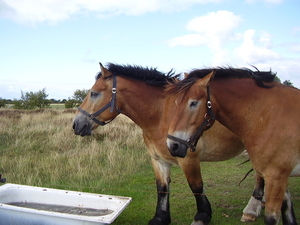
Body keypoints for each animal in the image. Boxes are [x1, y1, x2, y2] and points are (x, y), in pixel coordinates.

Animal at [72, 63, 262, 225]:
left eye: (94, 93)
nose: (76, 124)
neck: (162, 115)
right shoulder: (158, 160)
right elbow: (162, 188)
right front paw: (160, 218)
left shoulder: (189, 160)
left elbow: (196, 187)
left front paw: (202, 216)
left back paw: (251, 211)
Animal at [166, 67, 300, 225]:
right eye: (176, 102)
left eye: (193, 103)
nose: (172, 145)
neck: (269, 116)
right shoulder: (280, 178)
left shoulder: (276, 177)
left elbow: (272, 218)